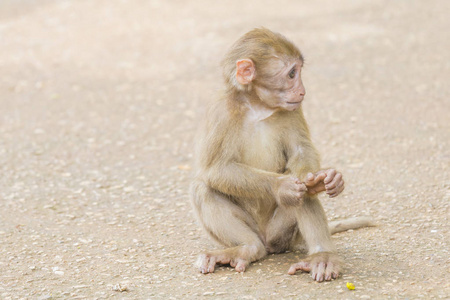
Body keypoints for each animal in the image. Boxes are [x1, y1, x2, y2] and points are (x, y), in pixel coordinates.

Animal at [190, 27, 372, 282]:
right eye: (292, 73)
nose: (302, 91)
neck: (257, 106)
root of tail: (268, 241)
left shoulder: (293, 110)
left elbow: (301, 154)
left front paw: (325, 179)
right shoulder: (220, 111)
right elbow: (214, 169)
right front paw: (282, 187)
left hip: (283, 233)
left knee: (304, 195)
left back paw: (322, 256)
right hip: (253, 232)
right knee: (203, 188)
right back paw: (246, 248)